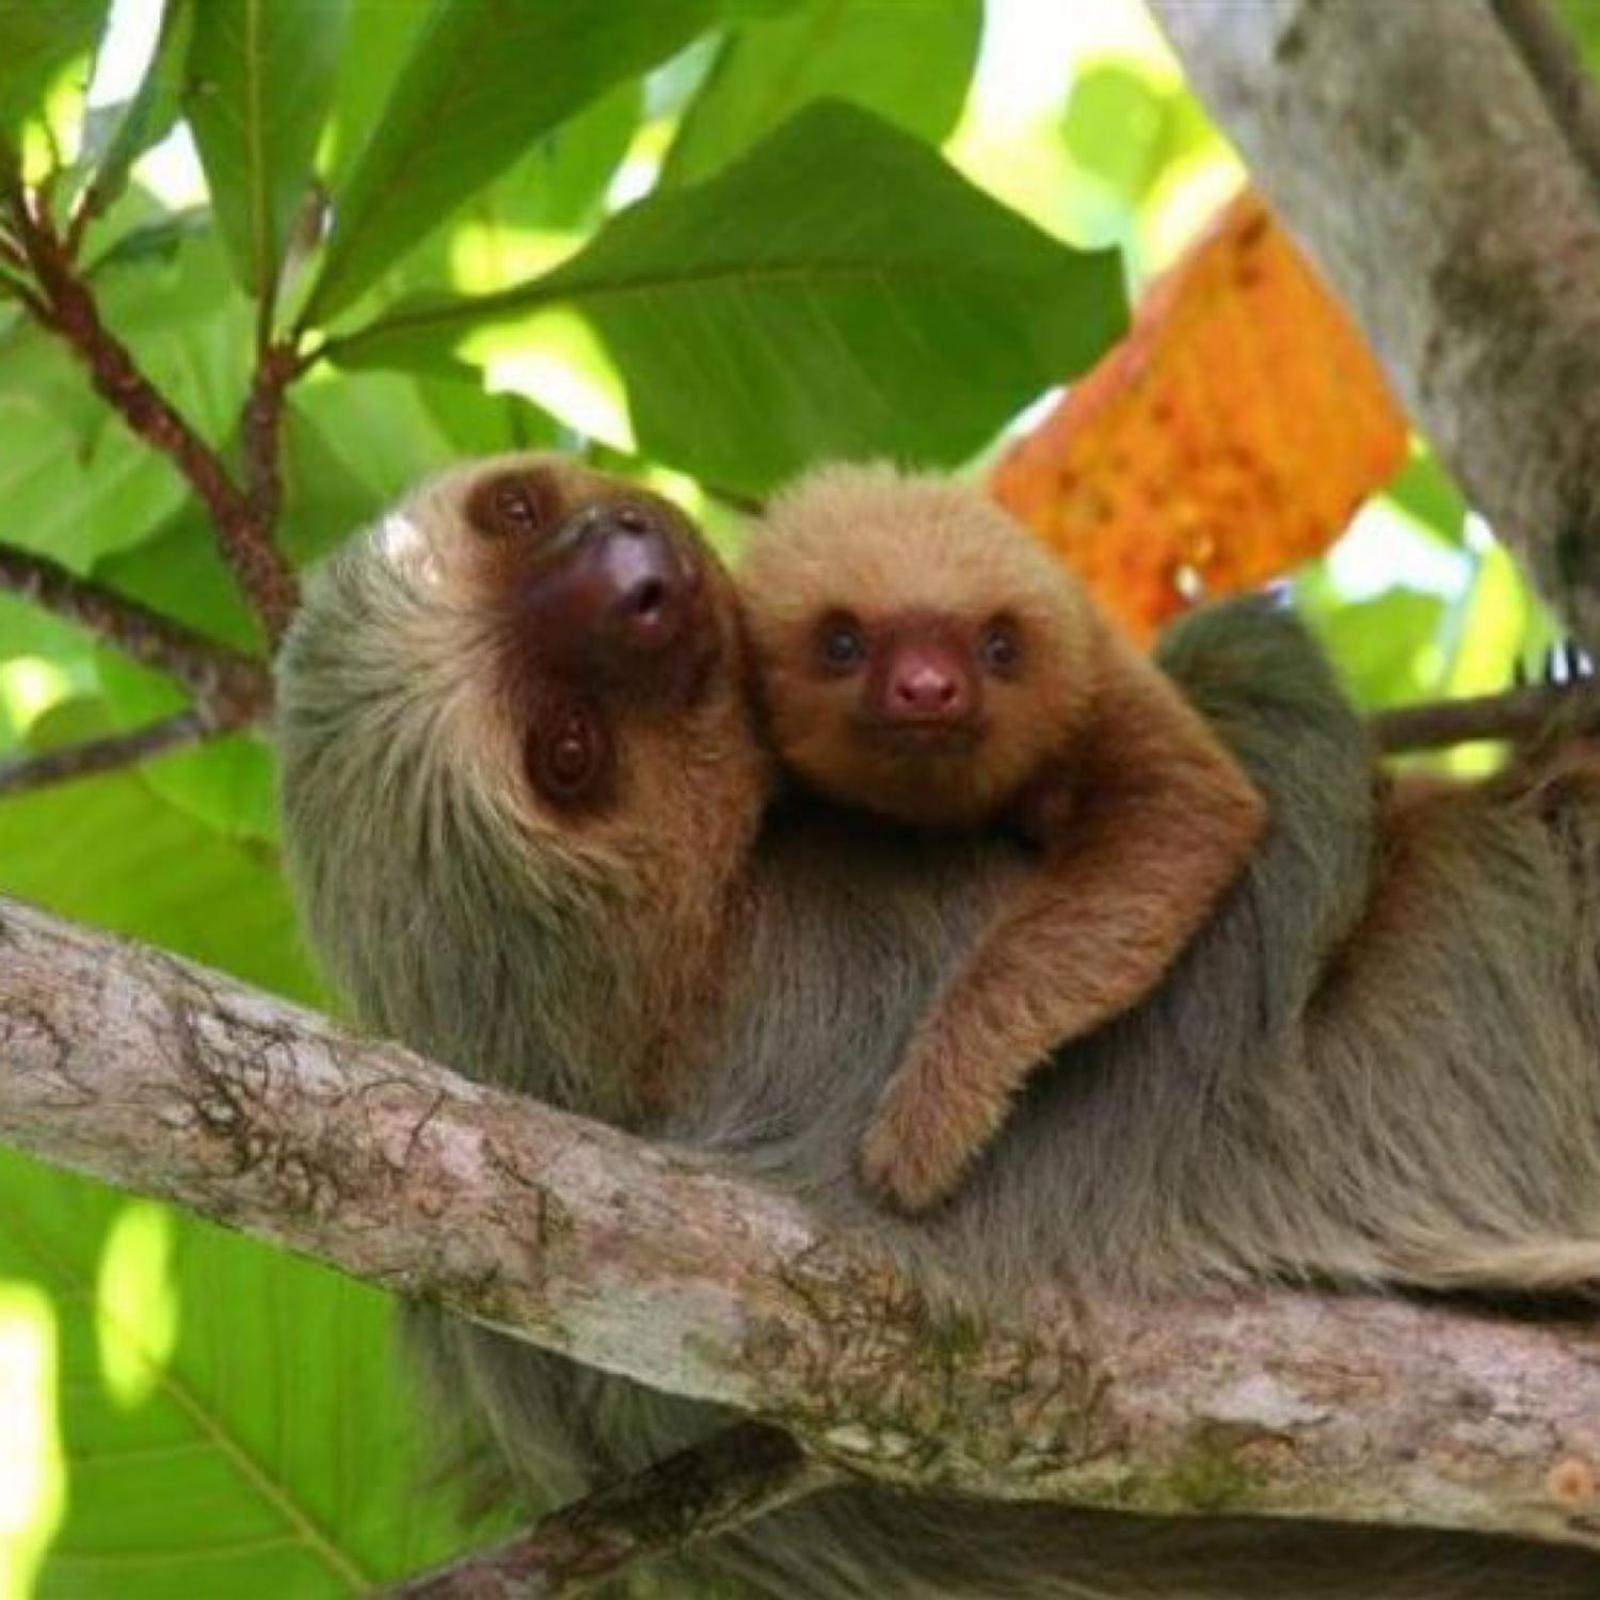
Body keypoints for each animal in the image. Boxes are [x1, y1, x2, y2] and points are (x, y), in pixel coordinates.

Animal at [737, 464, 1267, 1212]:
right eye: (842, 643)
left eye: (998, 646)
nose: (928, 688)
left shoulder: (1100, 677)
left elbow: (1183, 806)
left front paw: (930, 1119)